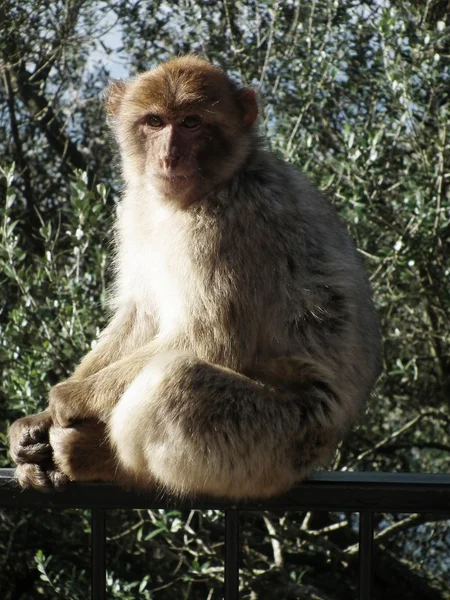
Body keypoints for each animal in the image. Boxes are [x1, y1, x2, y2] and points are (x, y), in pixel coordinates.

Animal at [8, 55, 382, 496]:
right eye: (155, 122)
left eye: (191, 123)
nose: (169, 157)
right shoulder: (136, 209)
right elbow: (140, 317)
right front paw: (37, 422)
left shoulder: (230, 226)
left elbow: (212, 339)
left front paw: (68, 400)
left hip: (277, 442)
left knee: (173, 382)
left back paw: (101, 459)